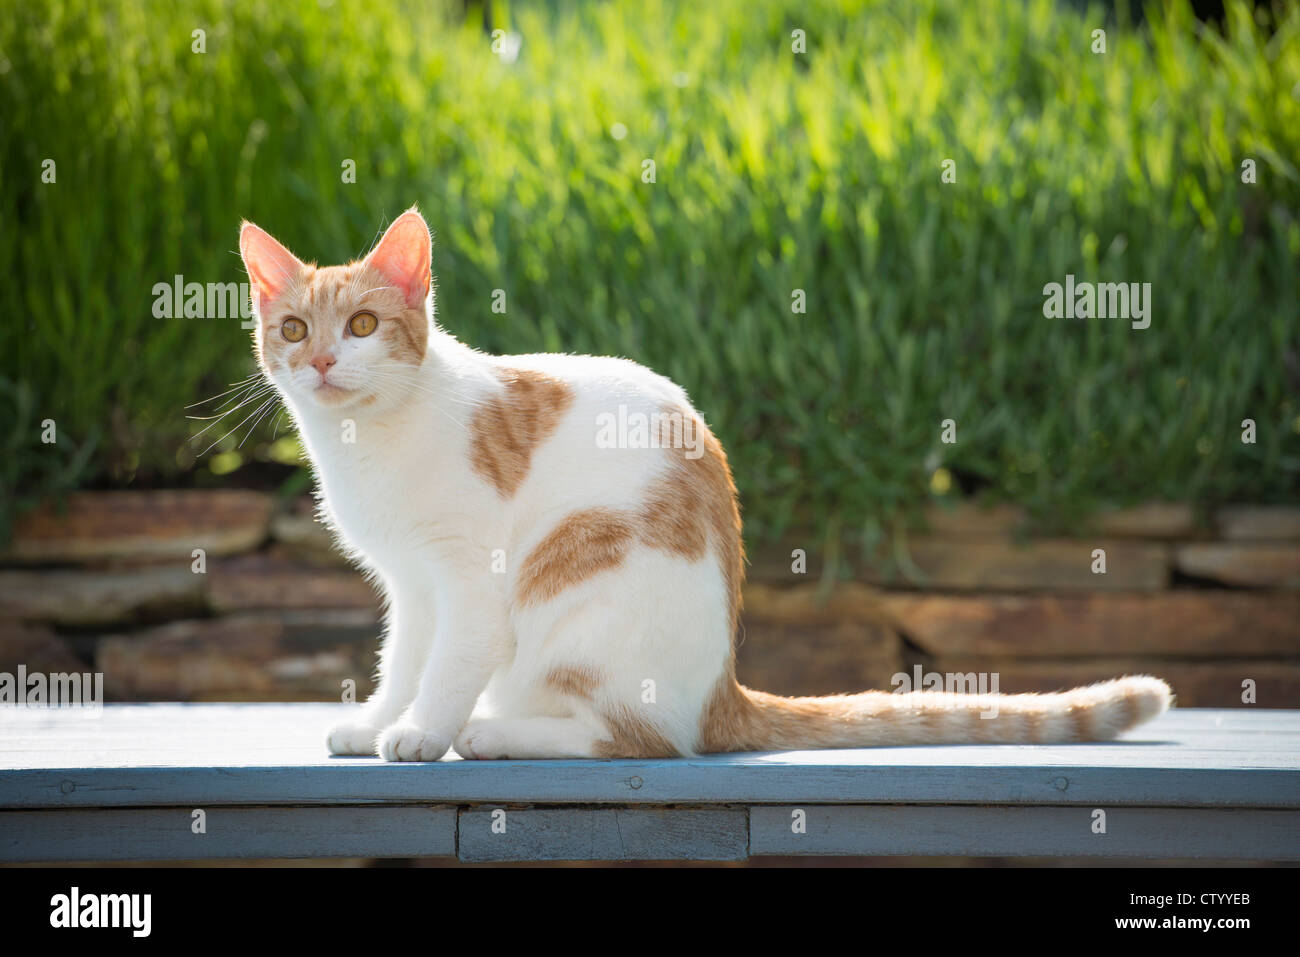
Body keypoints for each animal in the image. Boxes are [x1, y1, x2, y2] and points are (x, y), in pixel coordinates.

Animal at [239, 209, 1175, 764]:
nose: (321, 362)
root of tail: (725, 692)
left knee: (636, 737)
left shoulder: (467, 583)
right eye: (295, 328)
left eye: (364, 325)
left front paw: (420, 732)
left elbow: (442, 671)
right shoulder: (411, 586)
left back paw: (493, 731)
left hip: (577, 591)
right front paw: (375, 723)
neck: (368, 442)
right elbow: (401, 662)